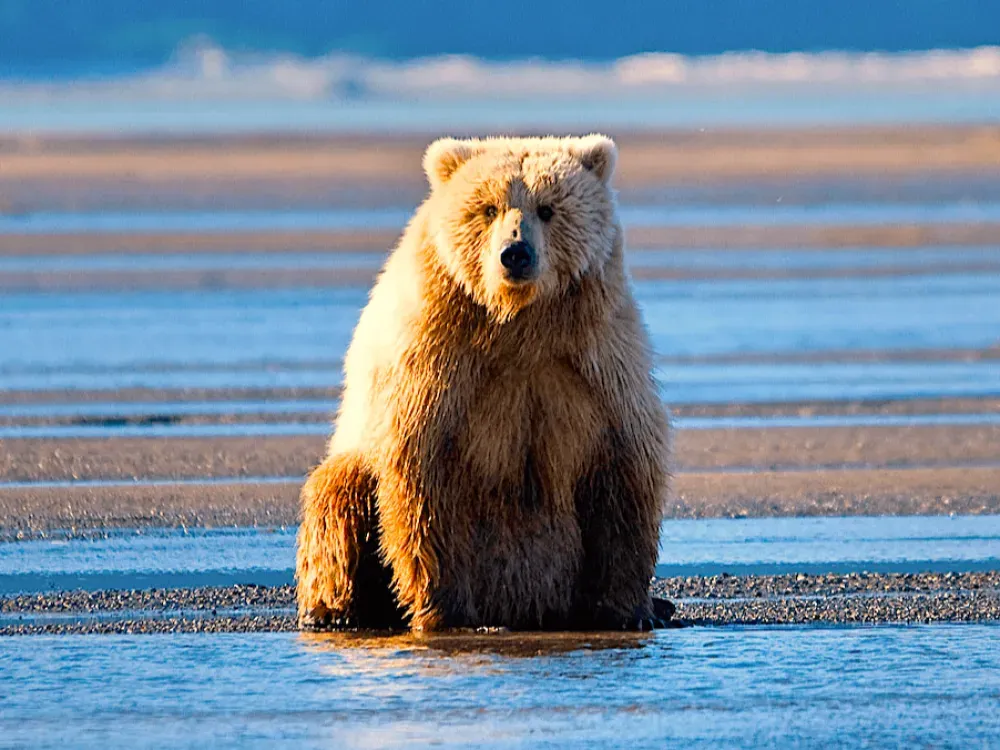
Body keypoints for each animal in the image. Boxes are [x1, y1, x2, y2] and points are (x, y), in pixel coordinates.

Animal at [295, 134, 670, 632]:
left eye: (547, 208)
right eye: (489, 208)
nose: (516, 253)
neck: (517, 321)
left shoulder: (596, 364)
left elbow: (623, 477)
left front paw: (625, 608)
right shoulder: (436, 365)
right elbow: (420, 480)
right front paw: (439, 608)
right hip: (352, 461)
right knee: (338, 496)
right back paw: (332, 611)